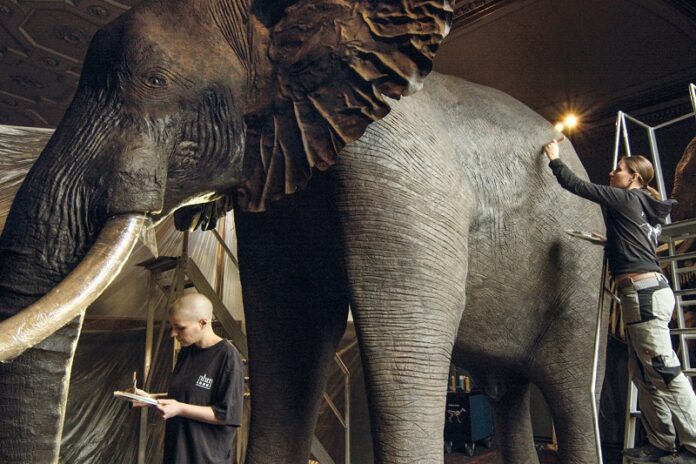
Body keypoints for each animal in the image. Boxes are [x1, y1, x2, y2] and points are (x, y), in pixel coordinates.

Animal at [0, 0, 608, 462]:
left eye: (154, 80)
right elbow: (287, 332)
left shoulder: (401, 178)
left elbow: (406, 341)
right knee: (507, 393)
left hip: (583, 265)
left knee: (571, 388)